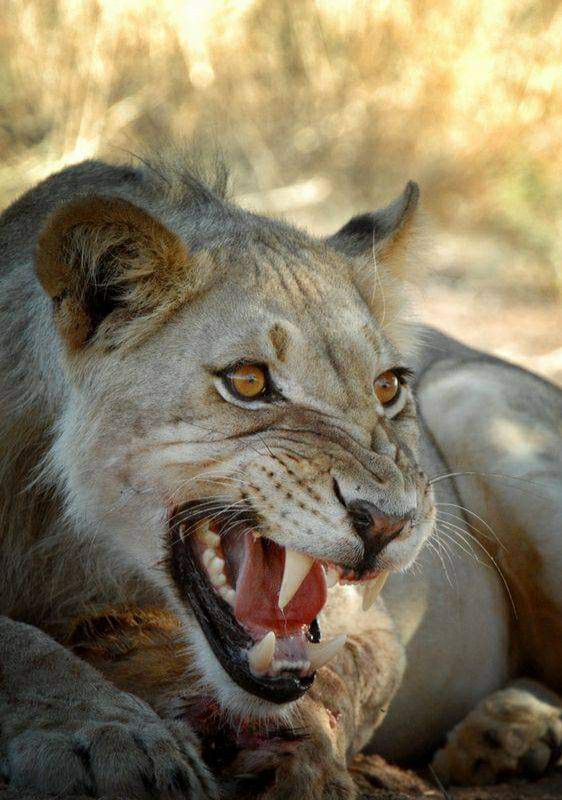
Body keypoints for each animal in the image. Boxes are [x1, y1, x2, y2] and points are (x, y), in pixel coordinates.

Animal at [1, 156, 560, 800]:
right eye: (247, 382)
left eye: (387, 386)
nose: (389, 523)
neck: (71, 551)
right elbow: (23, 646)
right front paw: (110, 738)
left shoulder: (369, 624)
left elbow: (340, 677)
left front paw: (296, 755)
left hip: (474, 395)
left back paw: (512, 732)